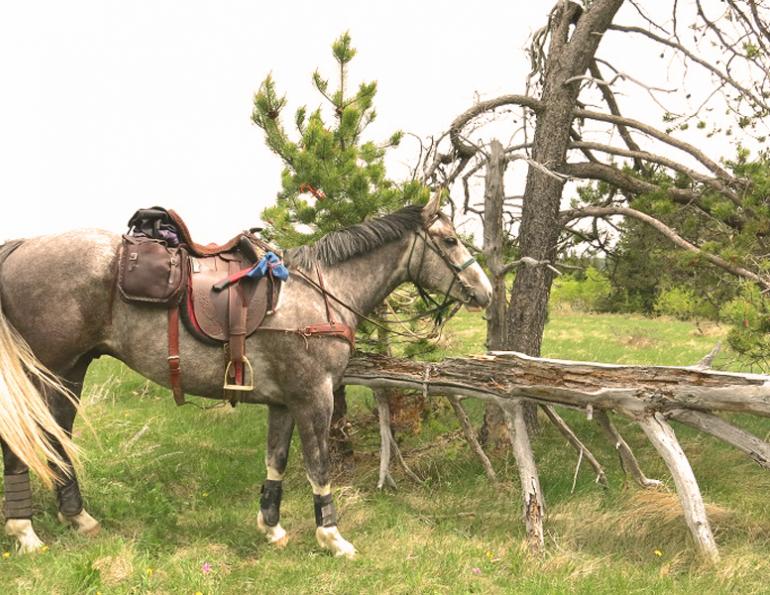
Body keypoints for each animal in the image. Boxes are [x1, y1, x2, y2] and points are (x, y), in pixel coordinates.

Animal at [0, 194, 492, 558]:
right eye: (449, 240)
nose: (484, 293)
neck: (322, 290)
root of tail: (20, 246)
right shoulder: (315, 397)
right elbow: (318, 466)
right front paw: (332, 537)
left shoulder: (283, 401)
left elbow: (277, 460)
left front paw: (271, 527)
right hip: (42, 373)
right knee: (22, 443)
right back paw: (26, 532)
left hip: (70, 372)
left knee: (56, 438)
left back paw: (77, 518)